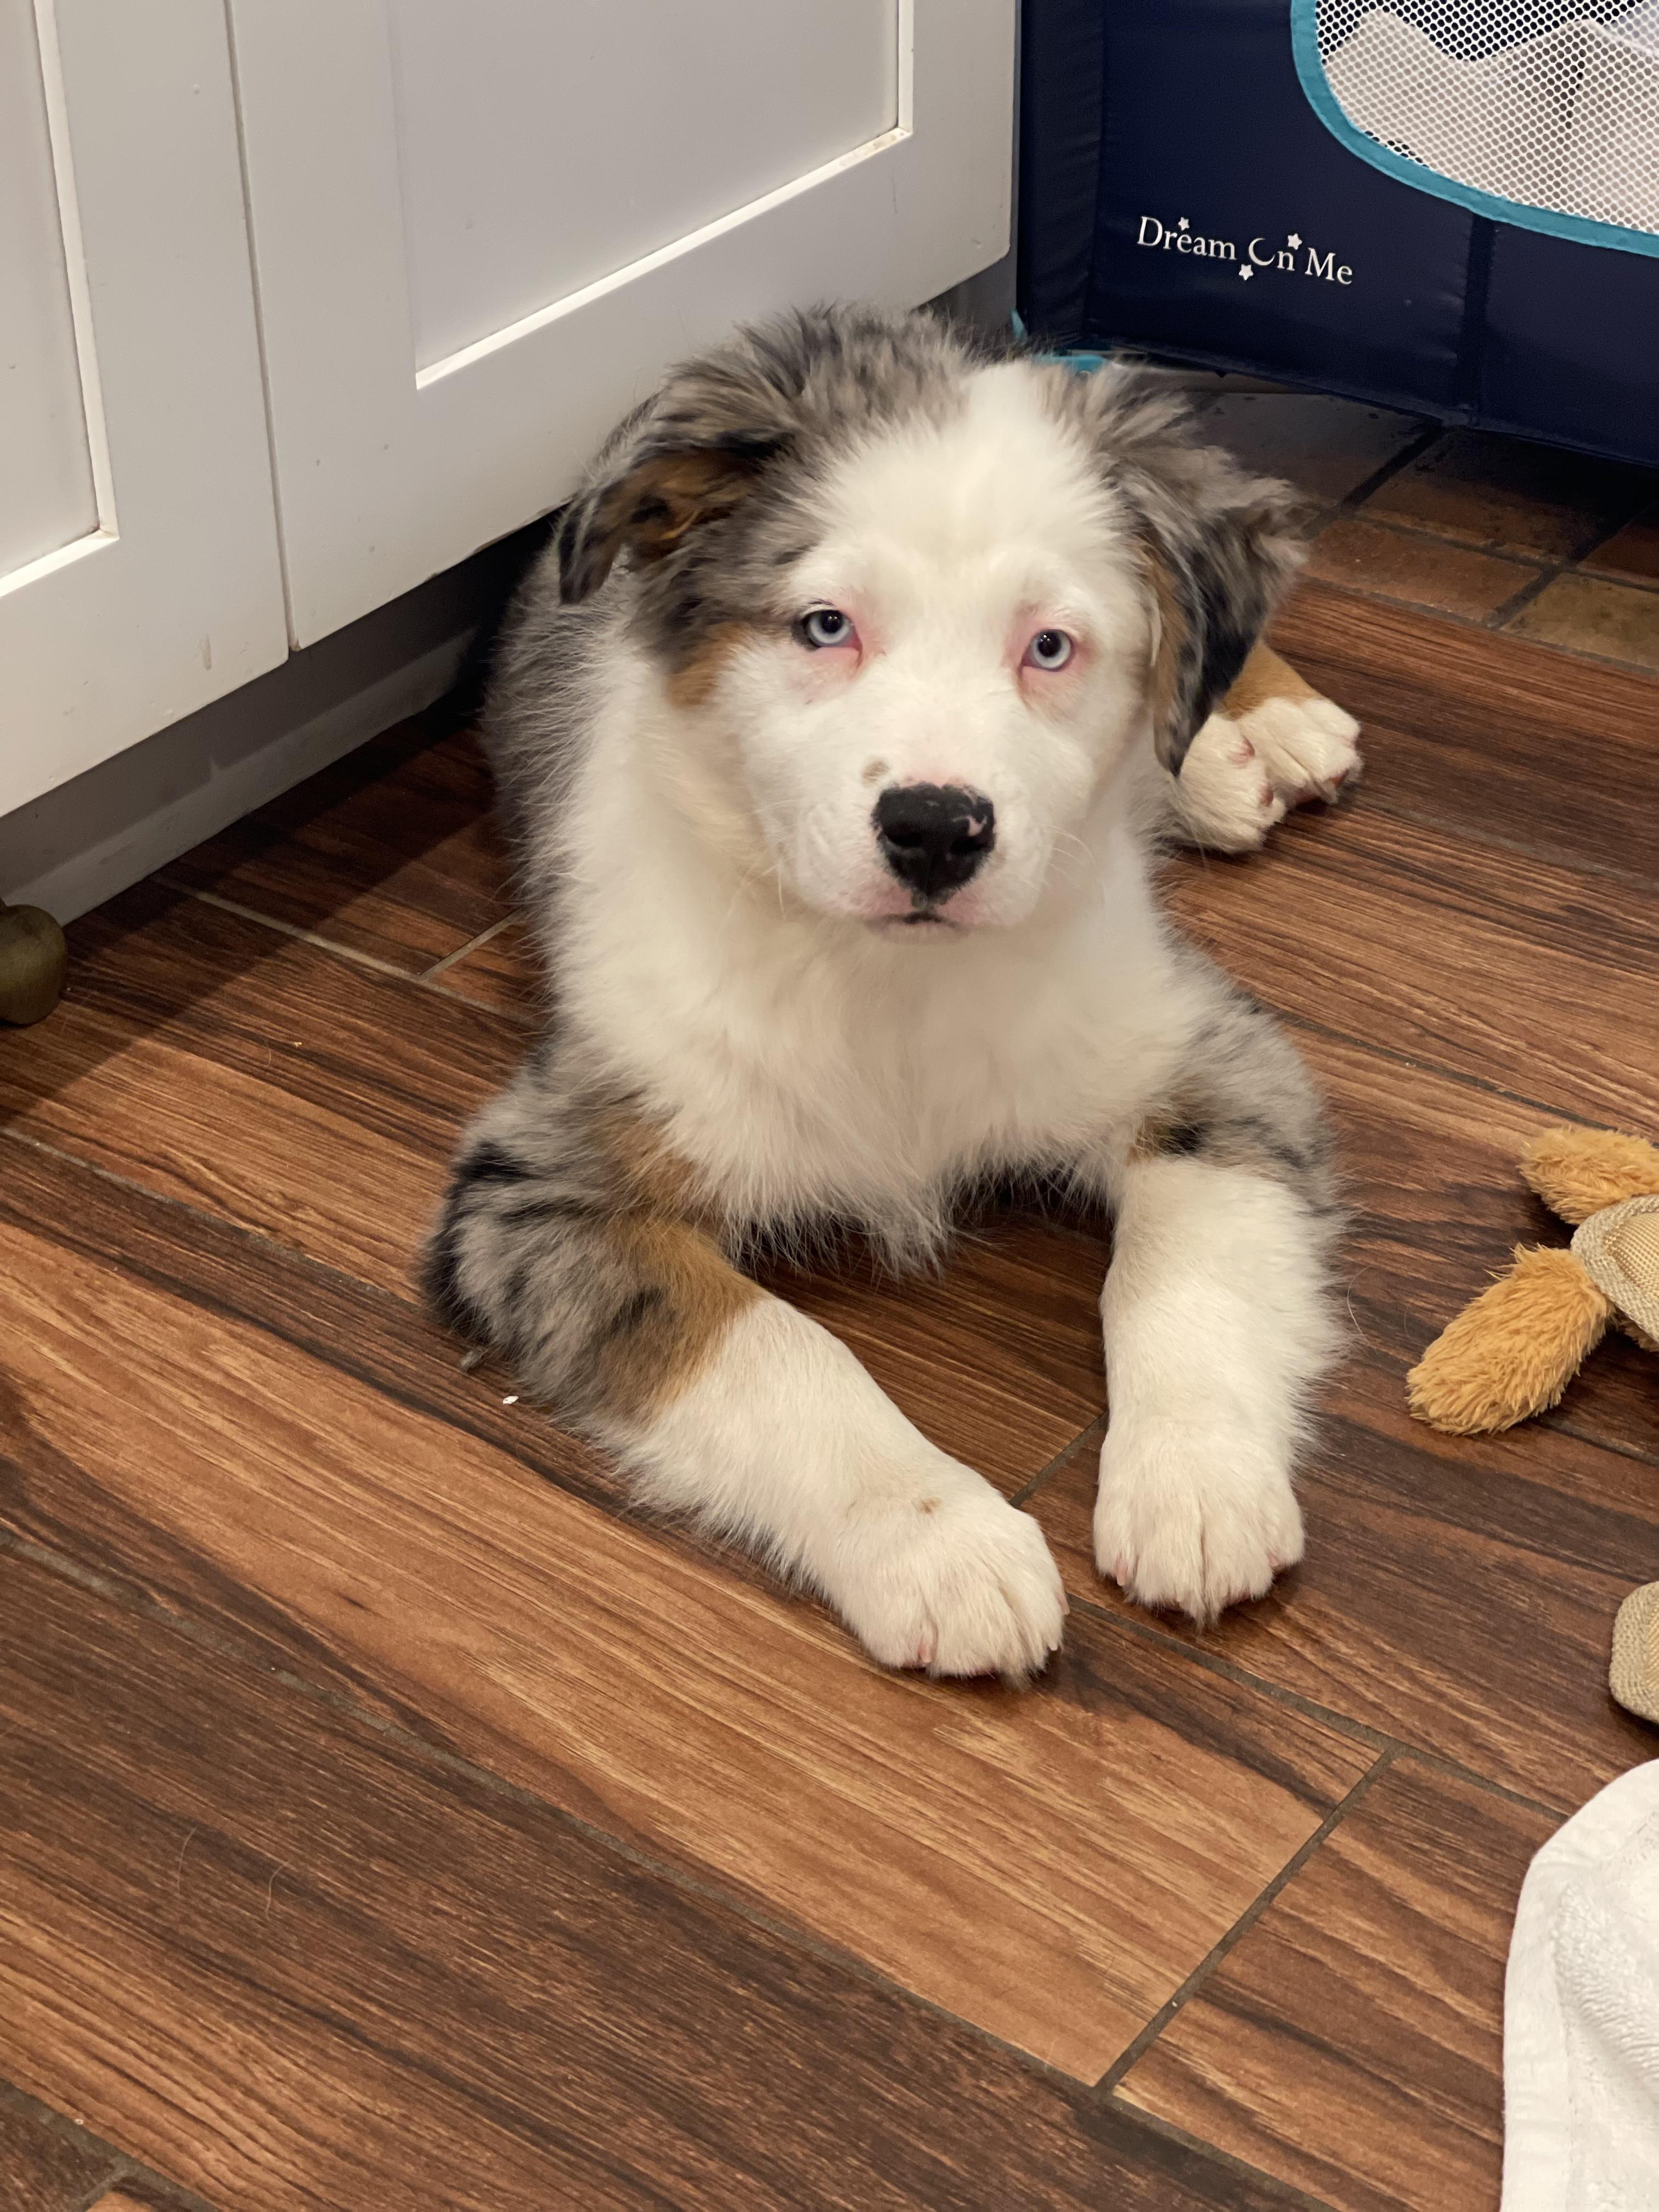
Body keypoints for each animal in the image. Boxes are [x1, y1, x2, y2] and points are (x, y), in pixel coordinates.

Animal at [427, 305, 1357, 1684]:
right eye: (825, 627)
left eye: (1050, 646)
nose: (933, 830)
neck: (890, 979)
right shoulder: (545, 1193)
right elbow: (781, 1352)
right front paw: (944, 1548)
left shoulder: (1212, 1062)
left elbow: (1183, 1267)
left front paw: (1197, 1488)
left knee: (1200, 675)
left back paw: (1262, 734)